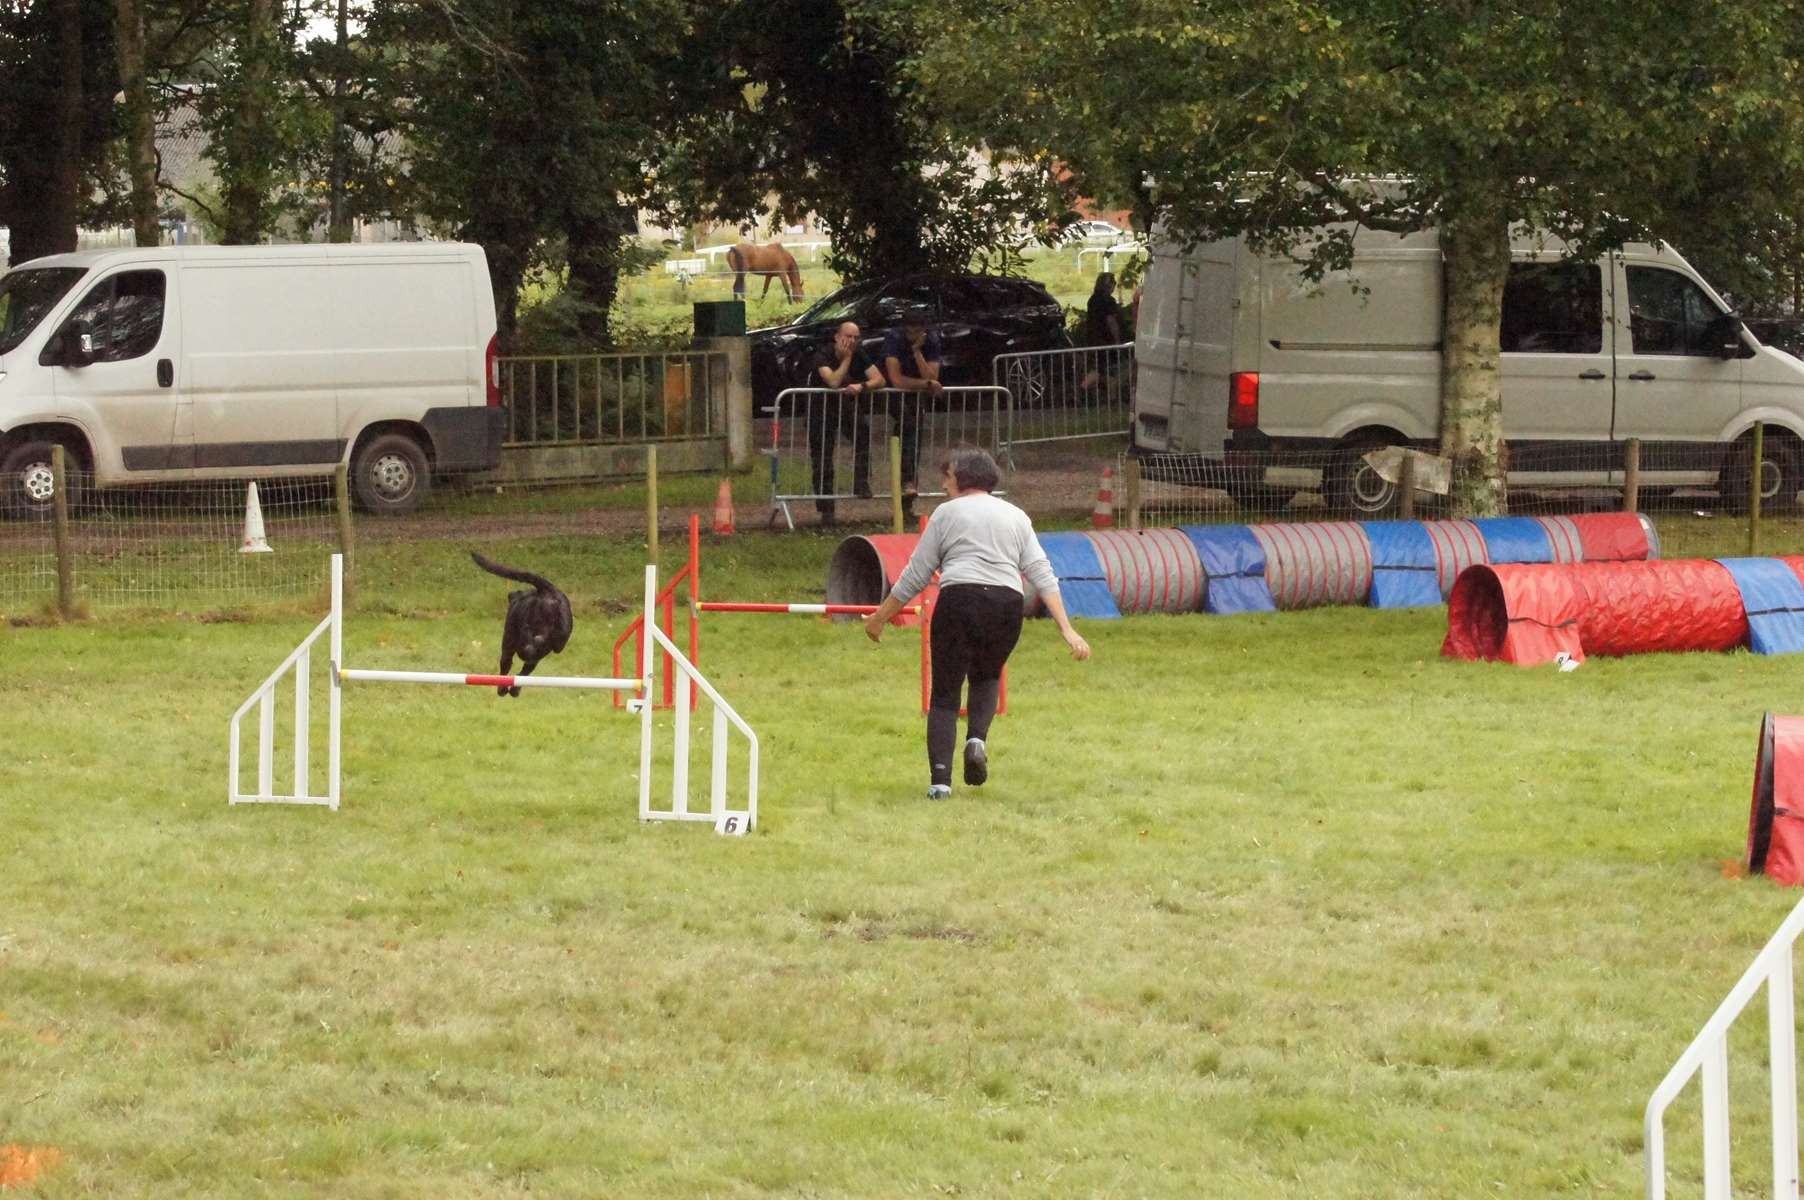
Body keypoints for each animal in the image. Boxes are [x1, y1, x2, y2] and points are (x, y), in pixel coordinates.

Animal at [472, 548, 570, 692]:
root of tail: (548, 591)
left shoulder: (508, 643)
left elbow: (506, 667)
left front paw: (504, 690)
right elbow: (523, 671)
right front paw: (512, 690)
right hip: (561, 637)